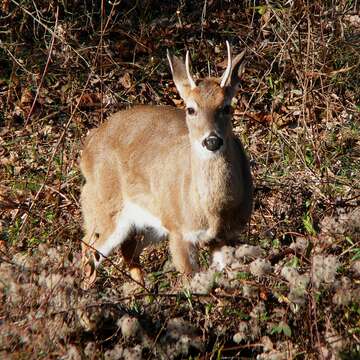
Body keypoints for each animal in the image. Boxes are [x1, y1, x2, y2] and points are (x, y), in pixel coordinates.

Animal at [80, 42, 252, 288]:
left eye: (226, 107)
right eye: (191, 109)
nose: (212, 141)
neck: (213, 212)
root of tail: (86, 149)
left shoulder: (228, 236)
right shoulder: (179, 230)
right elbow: (192, 282)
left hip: (151, 221)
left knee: (128, 248)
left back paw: (142, 289)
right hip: (104, 206)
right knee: (88, 245)